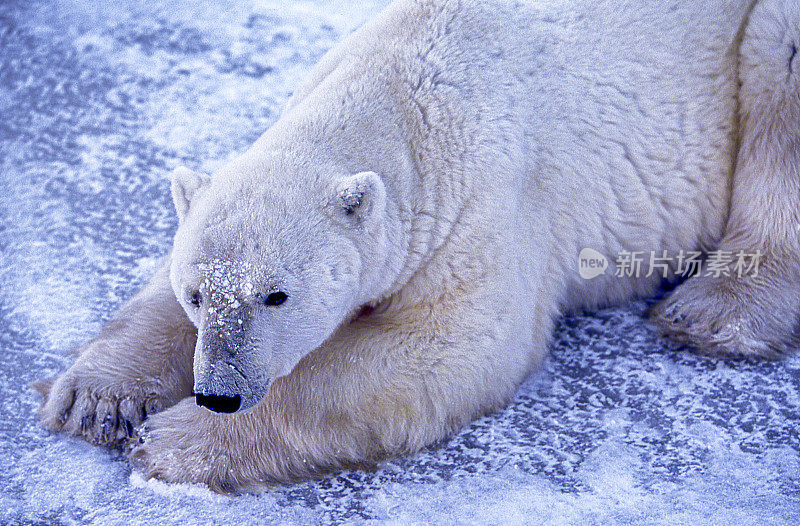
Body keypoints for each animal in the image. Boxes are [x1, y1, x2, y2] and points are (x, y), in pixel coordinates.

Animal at [37, 0, 800, 490]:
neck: (408, 95)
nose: (220, 395)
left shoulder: (485, 199)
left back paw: (713, 311)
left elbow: (447, 346)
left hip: (760, 38)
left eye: (277, 296)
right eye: (198, 294)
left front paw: (175, 437)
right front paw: (98, 401)